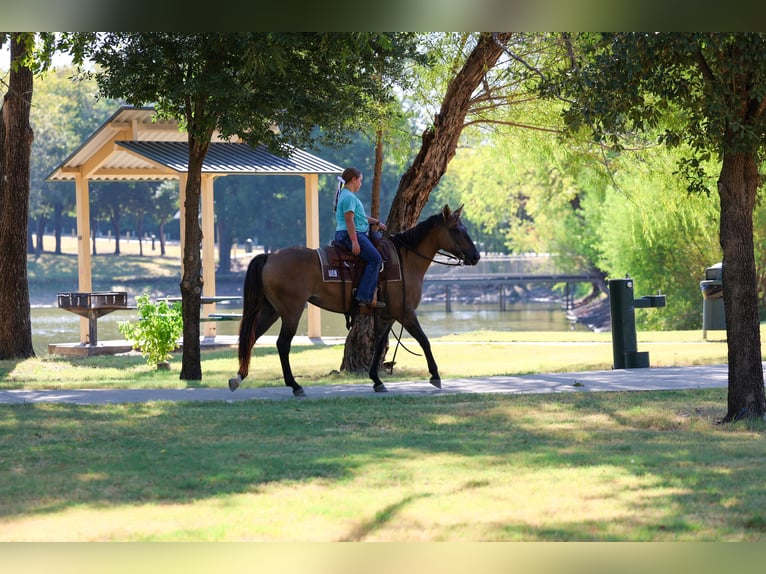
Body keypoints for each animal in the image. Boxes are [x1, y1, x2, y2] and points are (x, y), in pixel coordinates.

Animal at [228, 204, 480, 396]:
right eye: (456, 229)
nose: (476, 256)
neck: (405, 259)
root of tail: (270, 255)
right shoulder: (406, 312)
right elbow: (424, 340)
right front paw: (435, 375)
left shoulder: (387, 315)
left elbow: (378, 344)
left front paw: (377, 380)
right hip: (291, 311)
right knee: (282, 344)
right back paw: (295, 385)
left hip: (271, 310)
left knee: (251, 337)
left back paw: (238, 378)